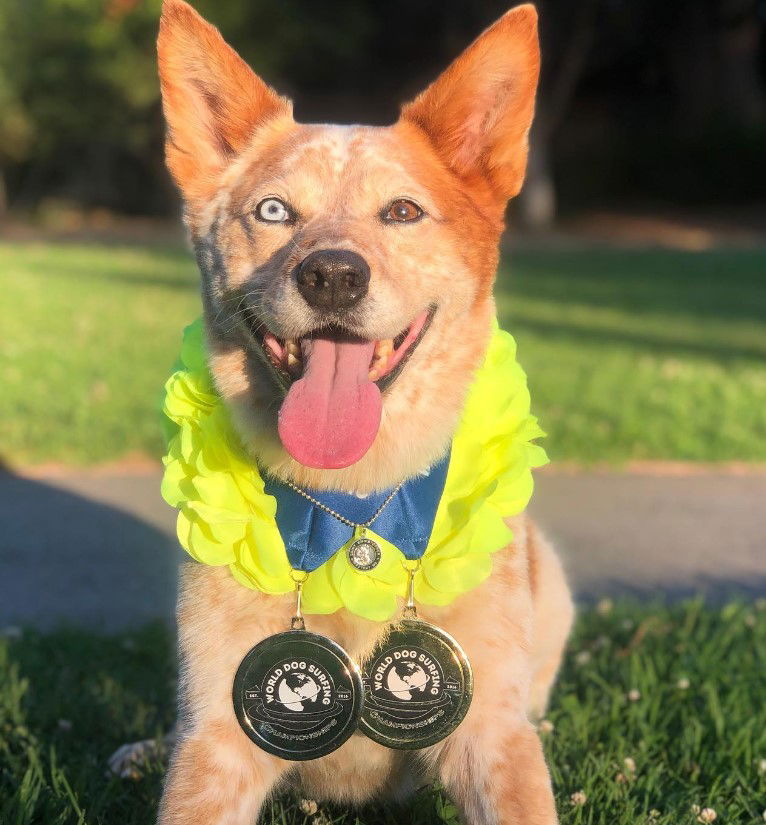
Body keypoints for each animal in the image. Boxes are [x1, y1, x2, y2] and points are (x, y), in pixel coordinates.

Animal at [134, 3, 576, 820]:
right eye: (274, 210)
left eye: (401, 211)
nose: (333, 274)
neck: (353, 509)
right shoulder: (217, 738)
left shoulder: (492, 733)